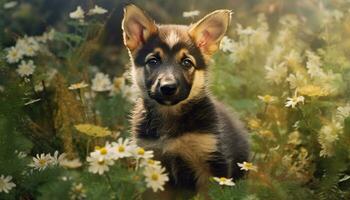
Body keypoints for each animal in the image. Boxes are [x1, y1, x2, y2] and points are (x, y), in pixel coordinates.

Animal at [121, 3, 250, 198]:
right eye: (153, 61)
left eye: (187, 63)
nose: (168, 87)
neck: (170, 118)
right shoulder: (153, 162)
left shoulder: (212, 161)